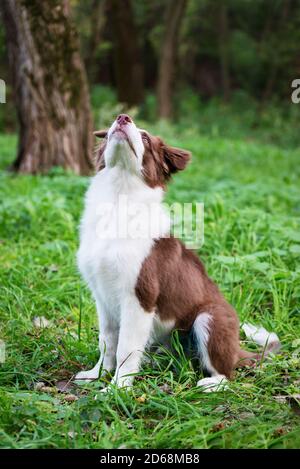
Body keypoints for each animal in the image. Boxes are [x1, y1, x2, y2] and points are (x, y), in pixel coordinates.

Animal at [74, 114, 278, 392]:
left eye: (145, 138)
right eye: (108, 133)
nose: (123, 117)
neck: (119, 198)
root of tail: (238, 351)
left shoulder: (139, 297)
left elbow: (126, 348)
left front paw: (117, 389)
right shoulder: (101, 296)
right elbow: (107, 342)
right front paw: (97, 374)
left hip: (210, 319)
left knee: (228, 374)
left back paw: (211, 384)